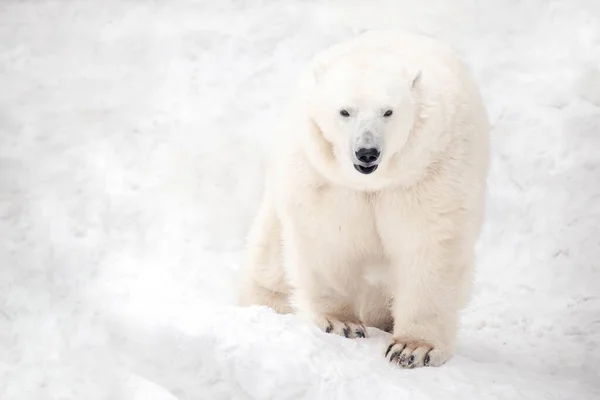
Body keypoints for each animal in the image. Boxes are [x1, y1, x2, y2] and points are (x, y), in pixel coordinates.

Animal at [237, 30, 490, 368]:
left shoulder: (431, 172)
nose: (367, 151)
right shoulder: (327, 179)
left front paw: (412, 348)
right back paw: (267, 306)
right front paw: (341, 323)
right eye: (345, 111)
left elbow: (430, 244)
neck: (375, 181)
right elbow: (328, 238)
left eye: (388, 111)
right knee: (269, 259)